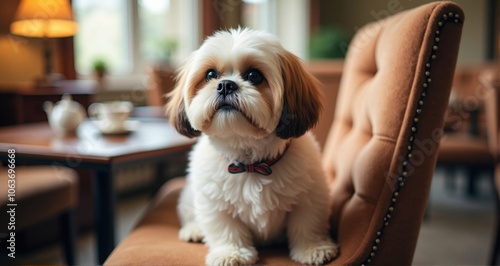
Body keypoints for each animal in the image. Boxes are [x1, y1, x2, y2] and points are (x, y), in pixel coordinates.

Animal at [166, 28, 338, 264]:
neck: (250, 164)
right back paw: (194, 230)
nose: (226, 84)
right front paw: (231, 253)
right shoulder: (215, 204)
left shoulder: (310, 196)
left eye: (254, 76)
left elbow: (308, 223)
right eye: (210, 75)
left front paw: (313, 248)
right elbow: (226, 229)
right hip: (190, 195)